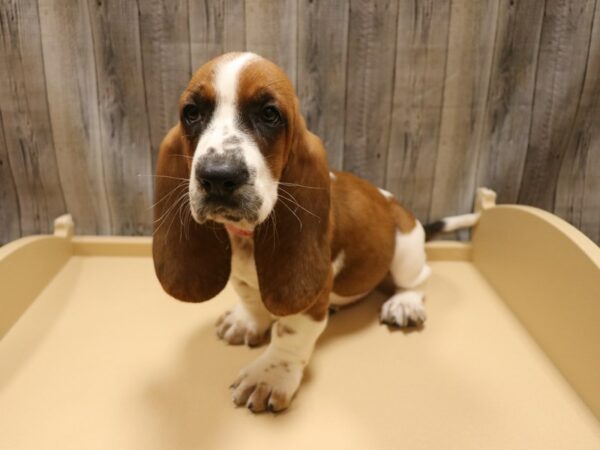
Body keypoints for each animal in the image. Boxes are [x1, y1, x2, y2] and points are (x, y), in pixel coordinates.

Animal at [154, 51, 478, 414]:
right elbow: (250, 298)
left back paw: (404, 303)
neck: (248, 235)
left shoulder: (312, 294)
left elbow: (290, 332)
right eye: (191, 113)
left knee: (418, 279)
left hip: (405, 249)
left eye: (269, 114)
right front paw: (247, 321)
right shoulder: (240, 276)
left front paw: (269, 376)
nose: (218, 177)